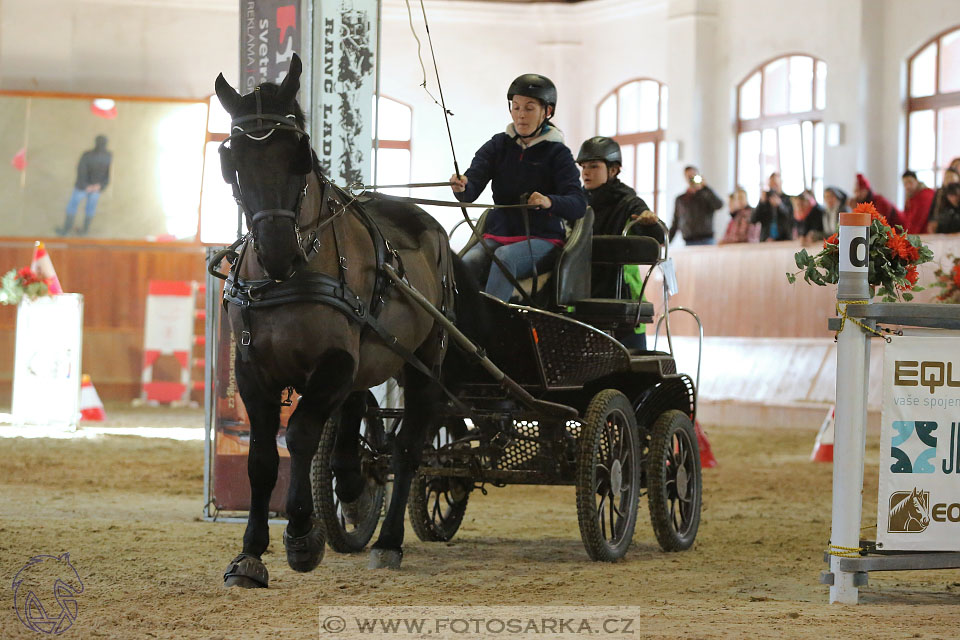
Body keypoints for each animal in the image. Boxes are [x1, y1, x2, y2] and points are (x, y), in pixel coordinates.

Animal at [218, 55, 488, 584]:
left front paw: (302, 535)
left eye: (299, 153)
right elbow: (261, 458)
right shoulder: (252, 370)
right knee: (357, 410)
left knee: (408, 446)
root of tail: (434, 229)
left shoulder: (336, 362)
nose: (277, 251)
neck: (291, 277)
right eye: (233, 159)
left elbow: (300, 434)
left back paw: (387, 540)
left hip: (423, 363)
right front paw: (250, 554)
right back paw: (349, 481)